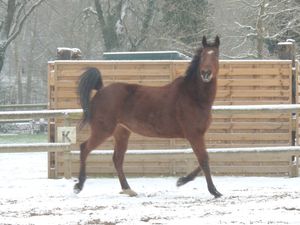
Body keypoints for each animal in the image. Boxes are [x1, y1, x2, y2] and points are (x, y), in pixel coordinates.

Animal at [74, 35, 221, 199]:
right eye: (203, 56)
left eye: (216, 55)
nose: (205, 73)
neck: (193, 96)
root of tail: (100, 91)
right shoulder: (194, 135)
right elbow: (204, 160)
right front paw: (214, 191)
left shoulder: (197, 135)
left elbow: (204, 159)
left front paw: (182, 180)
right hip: (103, 131)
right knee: (84, 148)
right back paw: (79, 186)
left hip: (122, 133)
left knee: (117, 159)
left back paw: (128, 189)